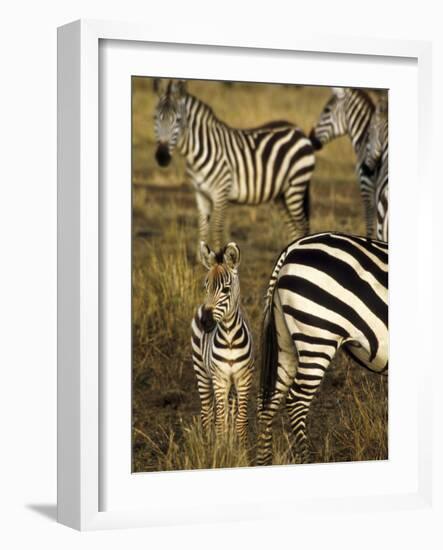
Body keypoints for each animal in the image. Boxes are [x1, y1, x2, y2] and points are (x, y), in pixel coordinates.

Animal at [153, 78, 316, 251]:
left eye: (178, 120)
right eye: (155, 118)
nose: (161, 157)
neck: (200, 151)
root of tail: (298, 130)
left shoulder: (221, 192)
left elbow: (216, 230)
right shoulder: (201, 194)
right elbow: (202, 231)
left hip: (296, 186)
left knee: (302, 226)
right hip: (281, 194)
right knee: (293, 228)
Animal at [190, 242, 253, 444]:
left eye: (225, 290)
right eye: (205, 287)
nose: (205, 322)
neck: (229, 337)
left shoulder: (243, 378)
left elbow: (240, 420)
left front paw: (240, 447)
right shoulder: (219, 379)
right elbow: (220, 421)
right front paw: (220, 447)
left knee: (229, 411)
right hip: (201, 370)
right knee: (208, 411)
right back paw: (207, 442)